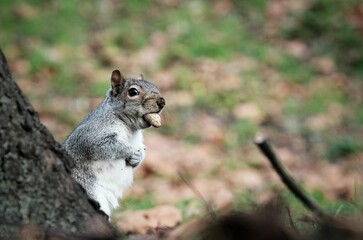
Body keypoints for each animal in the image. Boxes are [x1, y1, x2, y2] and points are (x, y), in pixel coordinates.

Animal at [62, 69, 165, 218]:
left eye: (155, 86)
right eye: (133, 92)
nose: (162, 102)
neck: (129, 127)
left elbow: (141, 151)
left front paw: (138, 158)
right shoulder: (90, 136)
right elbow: (105, 145)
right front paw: (130, 152)